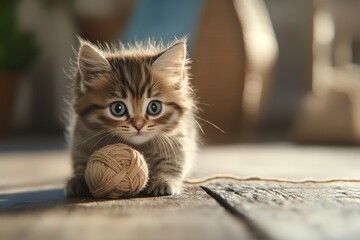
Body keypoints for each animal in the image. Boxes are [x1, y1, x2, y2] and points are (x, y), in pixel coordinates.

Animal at [66, 38, 198, 197]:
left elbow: (173, 163)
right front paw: (78, 180)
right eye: (118, 108)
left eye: (154, 107)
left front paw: (164, 180)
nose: (138, 125)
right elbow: (81, 163)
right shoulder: (81, 138)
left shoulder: (177, 140)